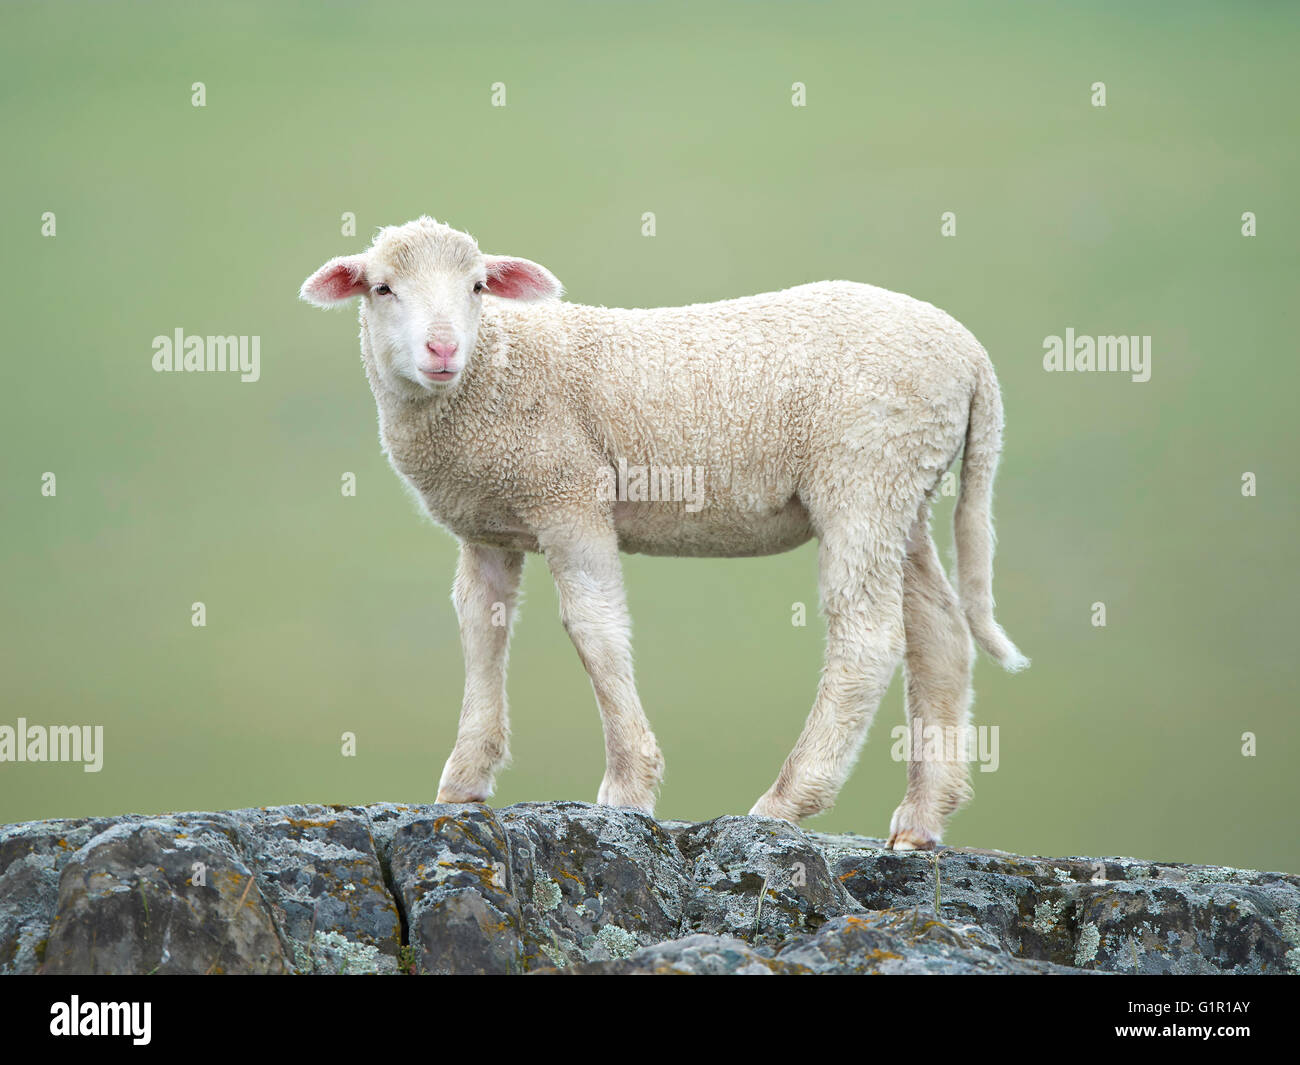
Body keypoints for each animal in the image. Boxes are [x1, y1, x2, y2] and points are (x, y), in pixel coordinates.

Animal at [300, 216, 1028, 850]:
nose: (444, 349)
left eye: (478, 285)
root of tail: (971, 356)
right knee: (939, 633)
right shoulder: (490, 525)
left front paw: (628, 787)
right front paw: (463, 781)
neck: (495, 368)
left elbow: (594, 629)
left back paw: (785, 801)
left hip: (865, 473)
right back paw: (921, 818)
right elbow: (481, 630)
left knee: (868, 637)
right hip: (905, 490)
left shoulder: (569, 495)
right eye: (382, 288)